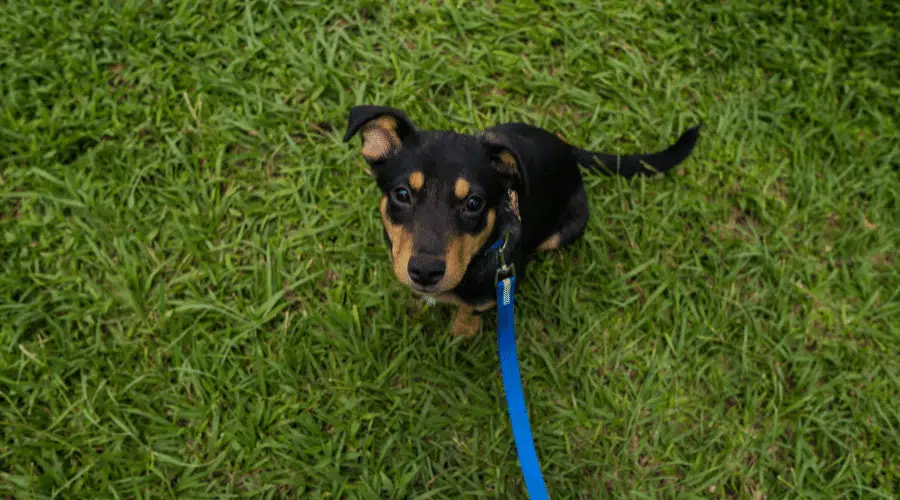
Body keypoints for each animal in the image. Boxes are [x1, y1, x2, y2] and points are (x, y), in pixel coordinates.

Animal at [342, 107, 700, 338]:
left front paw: (462, 333)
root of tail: (567, 149)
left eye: (474, 203)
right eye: (402, 193)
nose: (425, 272)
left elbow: (470, 311)